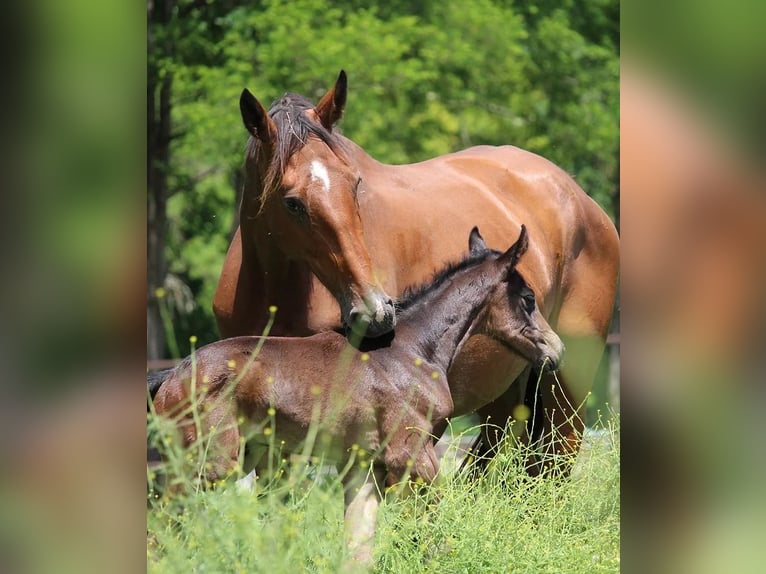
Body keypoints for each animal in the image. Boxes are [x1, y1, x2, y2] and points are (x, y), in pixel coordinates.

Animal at [153, 226, 568, 568]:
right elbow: (431, 519)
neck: (411, 349)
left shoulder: (366, 466)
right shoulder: (412, 454)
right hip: (210, 462)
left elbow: (359, 543)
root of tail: (171, 377)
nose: (555, 350)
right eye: (528, 298)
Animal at [213, 72, 620, 474]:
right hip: (502, 393)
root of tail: (581, 198)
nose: (376, 312)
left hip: (565, 393)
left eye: (355, 183)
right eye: (292, 202)